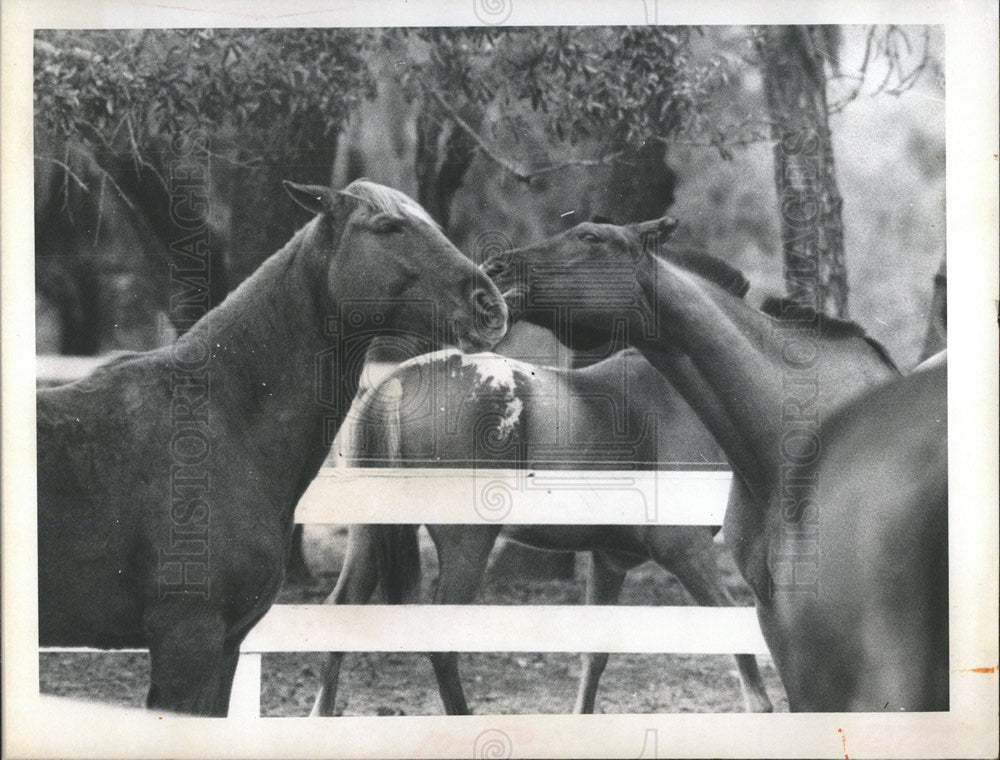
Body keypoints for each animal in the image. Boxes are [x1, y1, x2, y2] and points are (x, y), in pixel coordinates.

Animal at [310, 223, 772, 716]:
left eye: (592, 237)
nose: (496, 269)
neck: (674, 396)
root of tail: (395, 385)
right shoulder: (686, 551)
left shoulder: (610, 559)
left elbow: (594, 657)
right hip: (466, 543)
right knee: (440, 644)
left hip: (368, 534)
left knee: (339, 614)